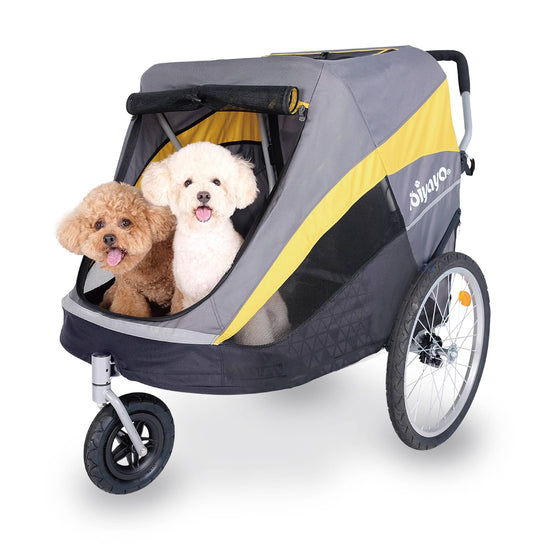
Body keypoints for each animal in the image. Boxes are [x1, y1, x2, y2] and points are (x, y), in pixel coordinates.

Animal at [141, 141, 290, 344]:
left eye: (217, 182)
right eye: (188, 182)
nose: (203, 195)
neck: (205, 241)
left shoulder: (246, 310)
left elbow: (256, 336)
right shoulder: (192, 299)